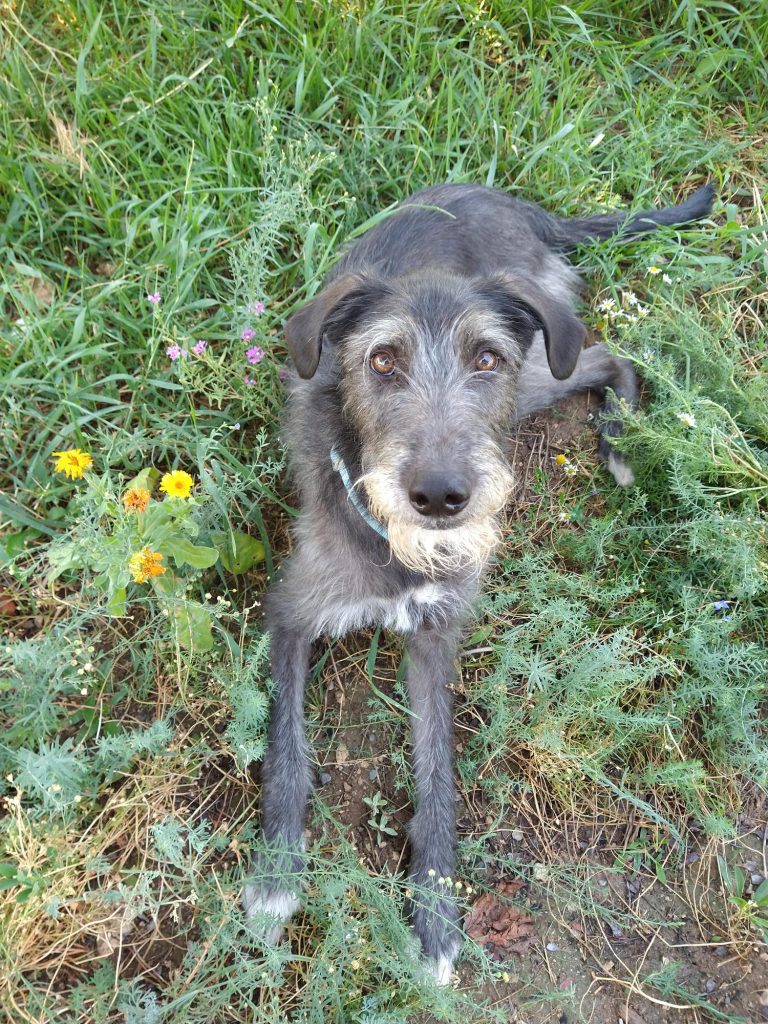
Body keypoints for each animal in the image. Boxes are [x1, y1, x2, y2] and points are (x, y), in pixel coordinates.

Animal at [244, 180, 716, 978]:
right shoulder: (292, 611)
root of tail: (515, 206)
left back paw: (620, 440)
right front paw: (277, 876)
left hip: (541, 364)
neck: (397, 549)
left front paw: (435, 917)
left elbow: (437, 774)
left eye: (485, 358)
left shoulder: (435, 639)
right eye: (381, 361)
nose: (439, 496)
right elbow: (288, 744)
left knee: (609, 354)